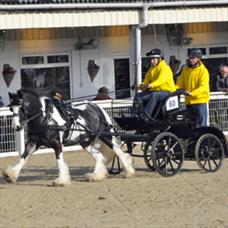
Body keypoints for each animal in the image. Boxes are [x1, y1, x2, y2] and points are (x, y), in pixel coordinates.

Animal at [2, 88, 134, 186]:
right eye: (11, 108)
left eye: (22, 108)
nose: (16, 127)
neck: (45, 119)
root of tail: (96, 107)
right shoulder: (33, 143)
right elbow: (23, 158)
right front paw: (10, 175)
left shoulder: (56, 143)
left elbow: (59, 160)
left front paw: (61, 180)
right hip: (85, 142)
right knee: (99, 156)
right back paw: (96, 176)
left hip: (106, 136)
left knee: (118, 151)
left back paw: (129, 171)